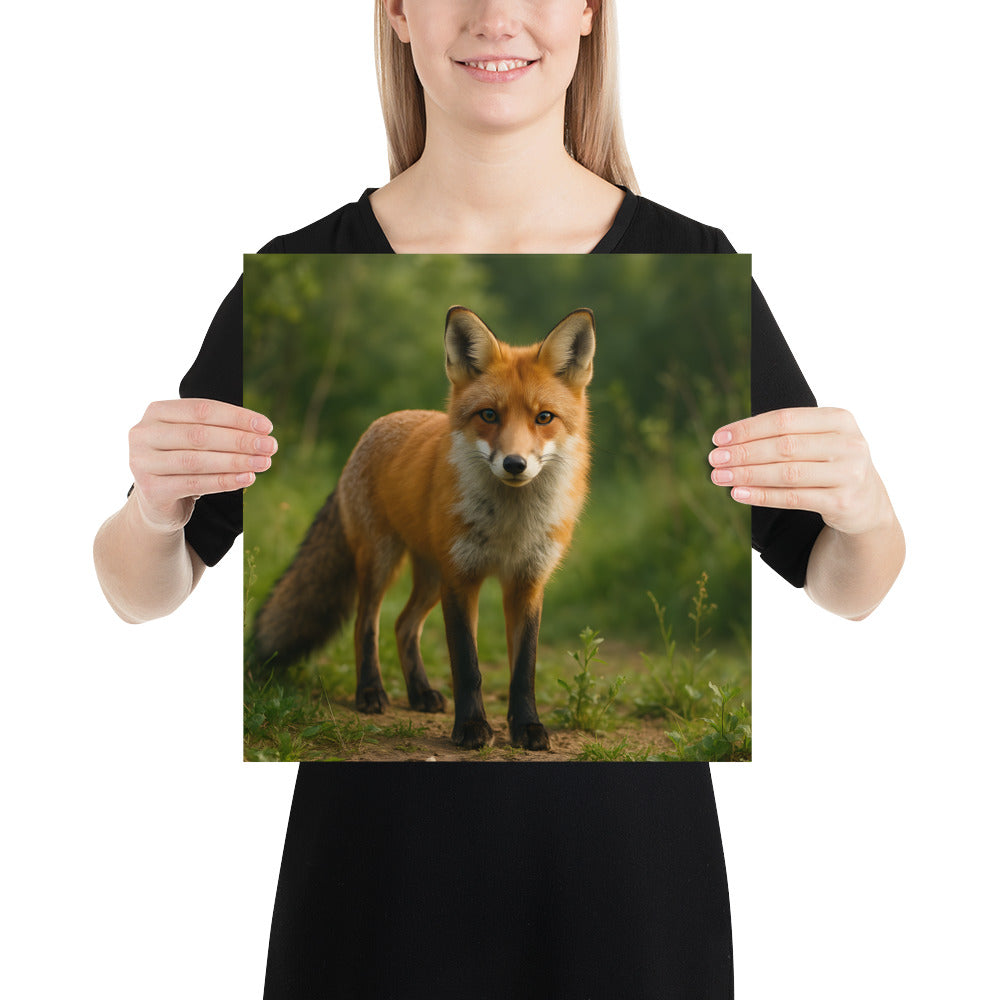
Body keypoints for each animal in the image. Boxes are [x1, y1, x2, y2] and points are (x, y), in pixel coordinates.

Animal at [252, 305, 596, 751]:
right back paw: (370, 692)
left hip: (431, 577)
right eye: (489, 415)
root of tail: (379, 425)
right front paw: (471, 728)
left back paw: (419, 693)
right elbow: (467, 665)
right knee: (367, 625)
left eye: (544, 418)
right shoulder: (462, 579)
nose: (515, 464)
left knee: (403, 625)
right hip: (383, 562)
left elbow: (524, 671)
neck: (510, 525)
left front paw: (528, 727)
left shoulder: (526, 583)